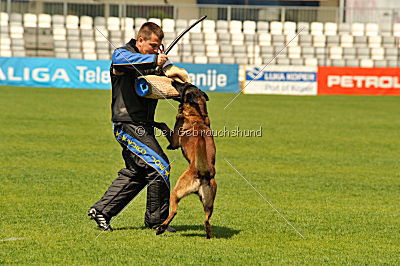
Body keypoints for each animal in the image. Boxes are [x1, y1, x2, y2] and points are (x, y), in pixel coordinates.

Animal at [155, 83, 217, 239]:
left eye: (184, 86)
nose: (173, 82)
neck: (198, 115)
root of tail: (203, 172)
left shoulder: (175, 139)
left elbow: (163, 125)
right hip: (209, 202)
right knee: (207, 219)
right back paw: (208, 234)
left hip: (176, 191)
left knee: (174, 211)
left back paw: (161, 228)